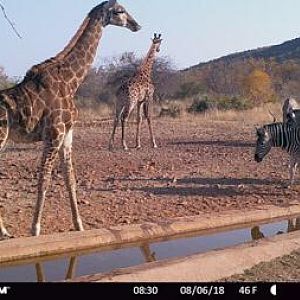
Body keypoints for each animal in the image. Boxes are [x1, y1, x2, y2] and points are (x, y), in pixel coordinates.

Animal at [0, 0, 141, 239]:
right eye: (120, 10)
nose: (137, 25)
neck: (70, 80)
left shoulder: (67, 133)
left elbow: (70, 178)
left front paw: (79, 225)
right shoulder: (54, 133)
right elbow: (45, 179)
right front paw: (35, 230)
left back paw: (5, 231)